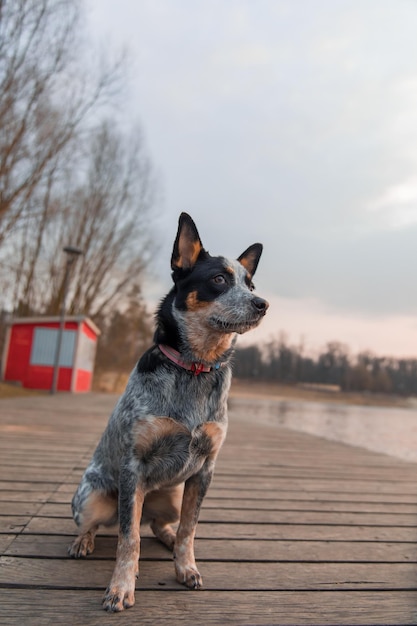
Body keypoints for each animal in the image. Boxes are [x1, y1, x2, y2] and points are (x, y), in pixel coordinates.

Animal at [68, 213, 268, 608]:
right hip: (90, 499)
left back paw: (167, 536)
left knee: (159, 524)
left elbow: (190, 528)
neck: (194, 369)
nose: (262, 303)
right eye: (219, 279)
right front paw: (120, 587)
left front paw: (185, 566)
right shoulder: (134, 466)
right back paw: (84, 541)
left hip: (173, 496)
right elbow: (128, 538)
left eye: (250, 283)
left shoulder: (205, 469)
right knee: (103, 524)